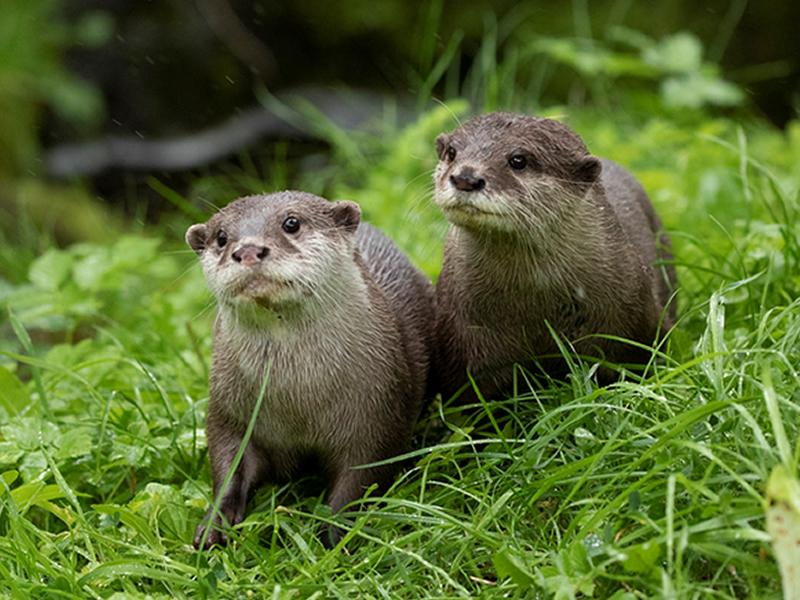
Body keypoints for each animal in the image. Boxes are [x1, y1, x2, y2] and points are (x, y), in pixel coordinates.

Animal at [185, 192, 434, 548]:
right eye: (221, 237)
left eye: (292, 223)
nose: (247, 249)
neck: (298, 400)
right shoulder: (230, 409)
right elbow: (229, 462)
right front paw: (214, 524)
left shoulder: (379, 414)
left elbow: (361, 478)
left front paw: (333, 534)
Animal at [434, 112, 680, 398]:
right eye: (452, 152)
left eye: (518, 160)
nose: (466, 177)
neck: (539, 307)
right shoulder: (463, 341)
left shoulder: (639, 323)